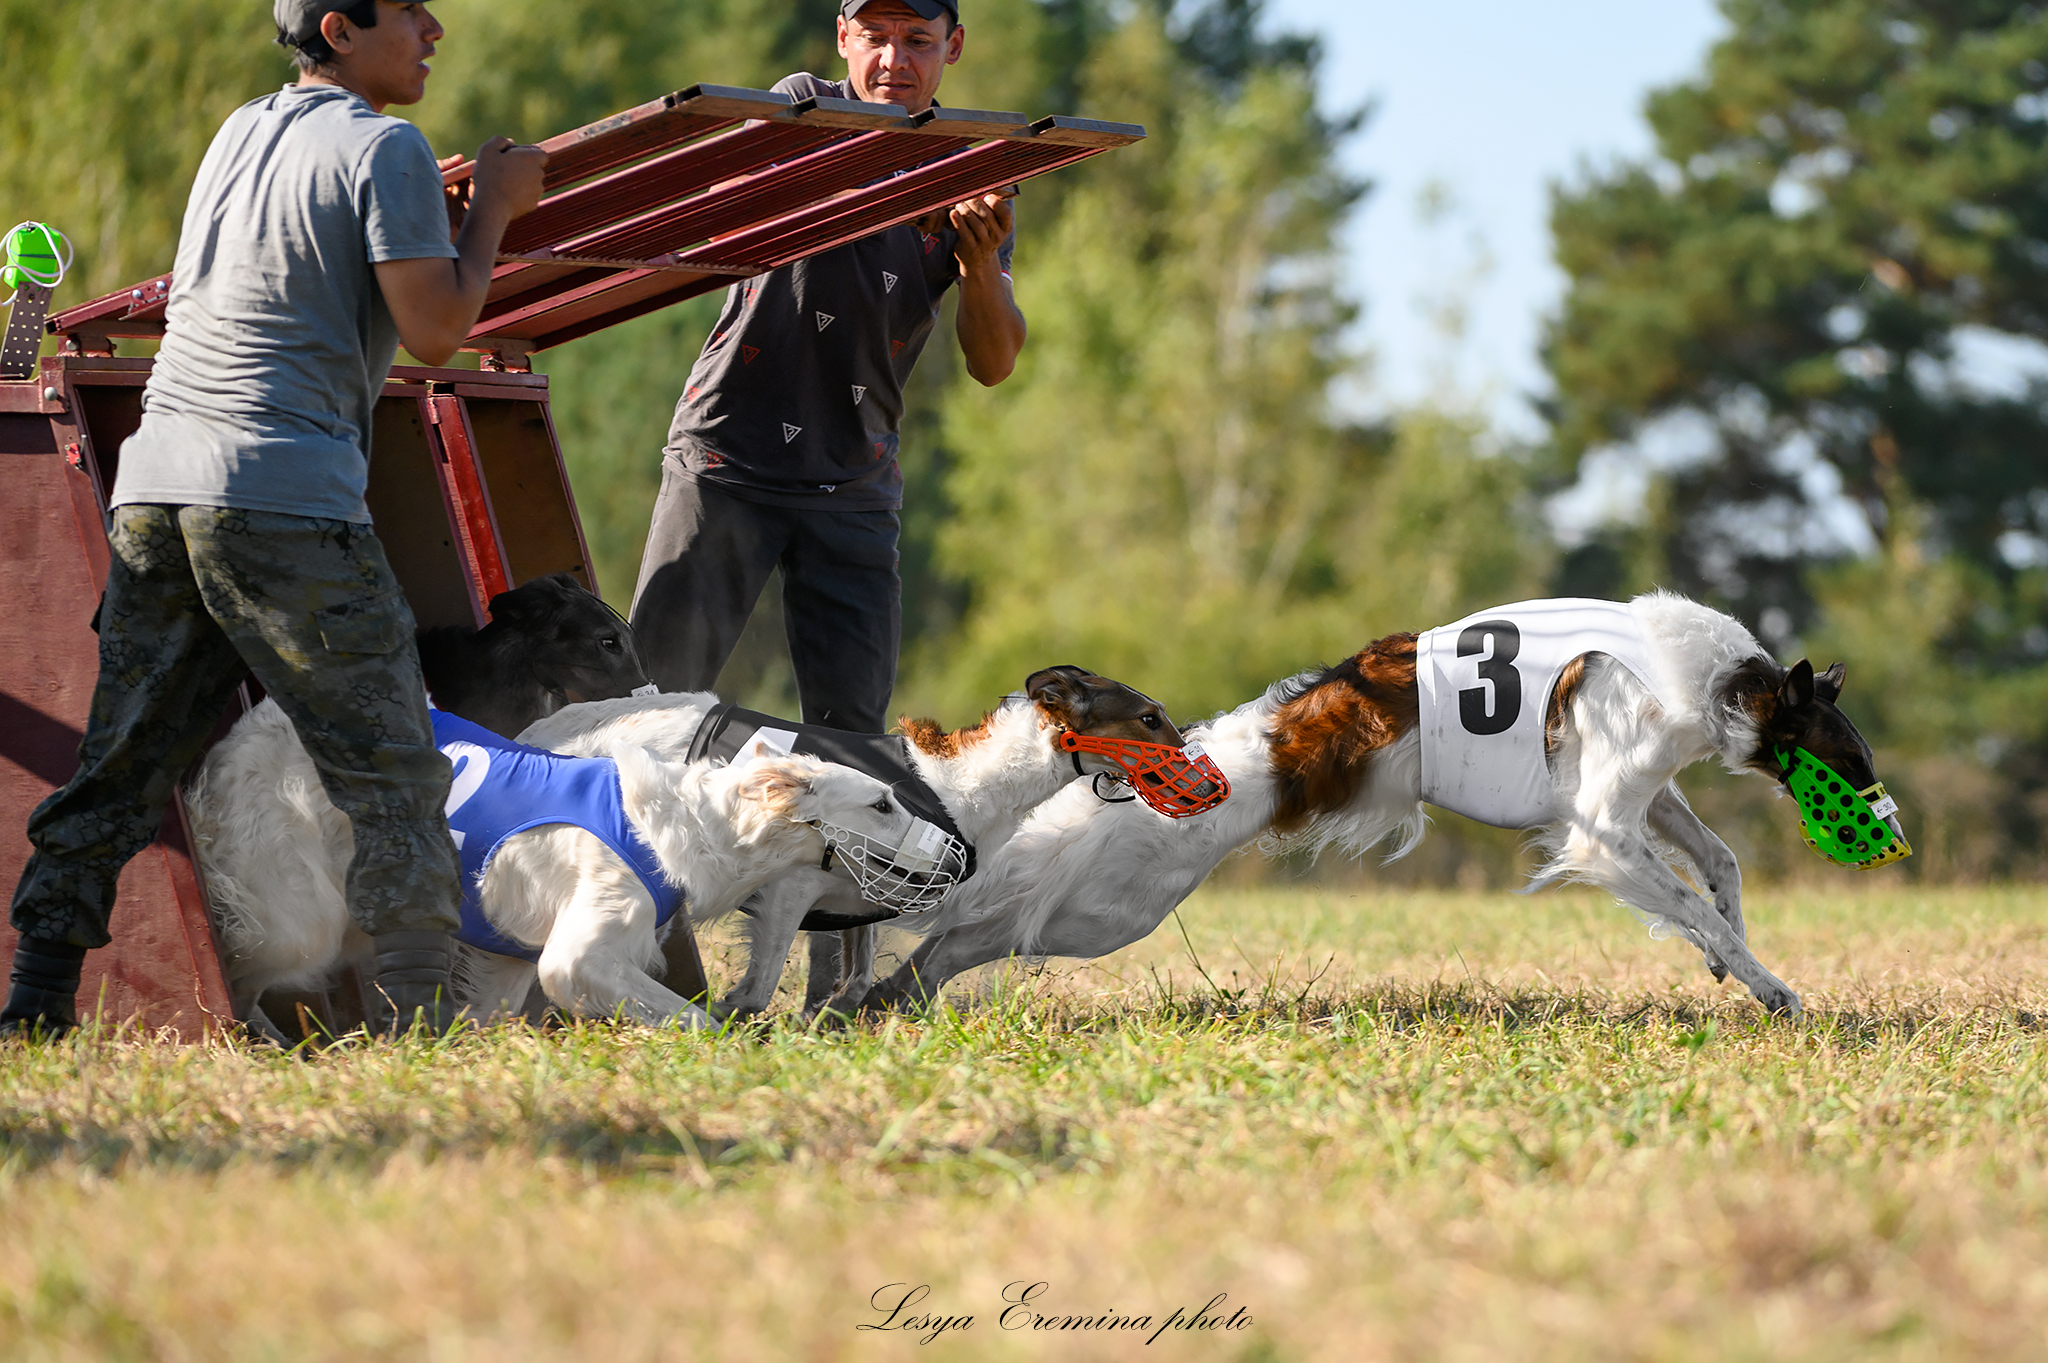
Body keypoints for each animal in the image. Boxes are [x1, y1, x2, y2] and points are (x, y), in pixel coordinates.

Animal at [190, 699, 913, 1019]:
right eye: (882, 803)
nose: (944, 843)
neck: (681, 824)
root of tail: (248, 724)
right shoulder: (575, 956)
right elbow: (686, 1011)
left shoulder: (508, 959)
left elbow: (490, 1015)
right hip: (299, 924)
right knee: (241, 962)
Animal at [520, 663, 1204, 1015]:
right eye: (1149, 718)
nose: (1206, 775)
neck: (955, 784)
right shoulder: (791, 887)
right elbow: (758, 989)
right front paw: (729, 1016)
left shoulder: (868, 898)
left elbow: (854, 974)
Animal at [864, 589, 1900, 1015]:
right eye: (1852, 759)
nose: (1895, 837)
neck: (1716, 679)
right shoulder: (1603, 827)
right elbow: (1695, 901)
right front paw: (1771, 986)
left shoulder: (1645, 794)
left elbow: (1720, 867)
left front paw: (1731, 960)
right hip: (1110, 905)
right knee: (960, 932)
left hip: (1099, 906)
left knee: (950, 945)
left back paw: (877, 1003)